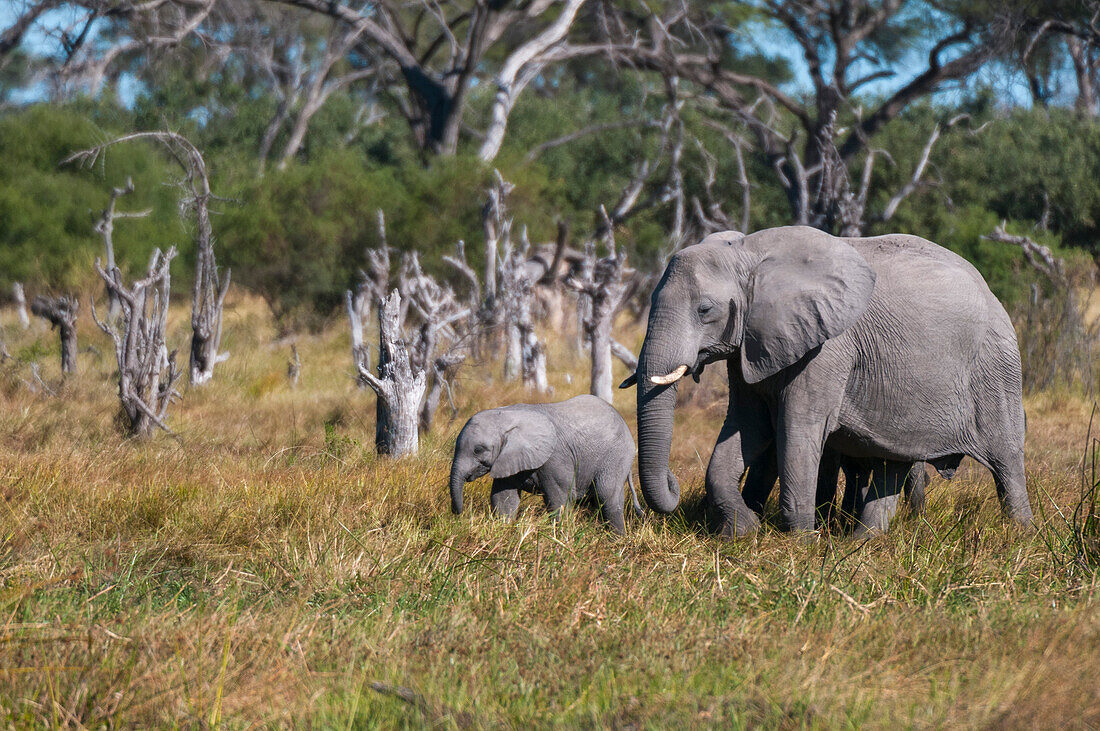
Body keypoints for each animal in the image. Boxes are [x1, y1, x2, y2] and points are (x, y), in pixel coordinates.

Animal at [446, 393, 642, 529]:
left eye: (479, 450)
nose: (458, 513)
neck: (507, 415)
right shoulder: (508, 458)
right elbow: (503, 499)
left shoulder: (555, 457)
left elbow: (559, 499)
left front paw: (560, 537)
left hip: (616, 455)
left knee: (607, 496)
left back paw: (617, 541)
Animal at [629, 226, 1029, 536]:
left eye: (704, 310)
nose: (673, 481)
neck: (749, 252)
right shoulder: (752, 344)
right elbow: (748, 425)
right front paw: (742, 532)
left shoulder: (828, 347)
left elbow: (797, 428)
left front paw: (800, 544)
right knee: (894, 463)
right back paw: (862, 543)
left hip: (996, 370)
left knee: (1007, 462)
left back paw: (1019, 538)